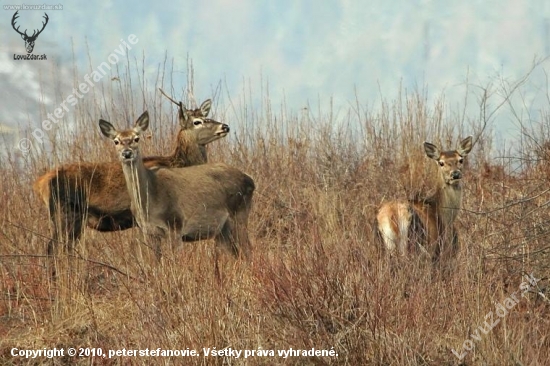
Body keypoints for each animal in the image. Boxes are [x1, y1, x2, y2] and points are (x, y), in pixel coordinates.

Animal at [33, 93, 227, 256]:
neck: (178, 163)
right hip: (65, 213)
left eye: (207, 116)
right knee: (53, 248)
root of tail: (40, 183)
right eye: (197, 122)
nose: (225, 126)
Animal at [99, 111, 254, 258]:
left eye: (136, 138)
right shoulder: (148, 232)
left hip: (239, 215)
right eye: (116, 141)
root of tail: (250, 180)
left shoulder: (175, 225)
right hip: (222, 229)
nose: (127, 153)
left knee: (248, 250)